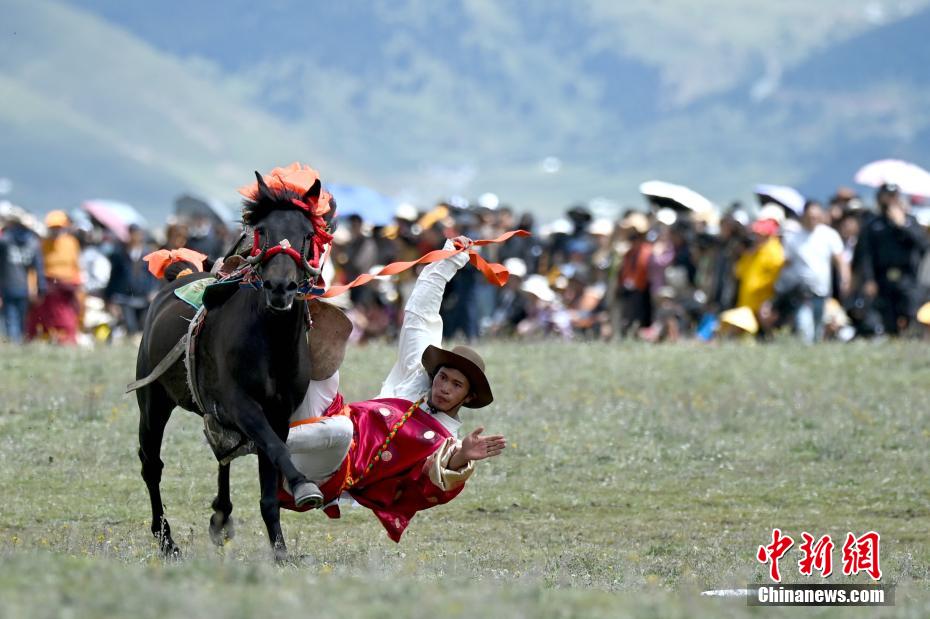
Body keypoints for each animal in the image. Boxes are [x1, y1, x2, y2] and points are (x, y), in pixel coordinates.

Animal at [134, 174, 340, 560]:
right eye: (261, 230)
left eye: (308, 234)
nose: (280, 287)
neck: (270, 341)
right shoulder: (241, 403)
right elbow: (273, 448)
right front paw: (304, 487)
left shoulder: (278, 412)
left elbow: (270, 475)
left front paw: (280, 552)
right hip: (153, 399)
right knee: (151, 464)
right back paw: (167, 540)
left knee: (221, 453)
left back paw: (220, 515)